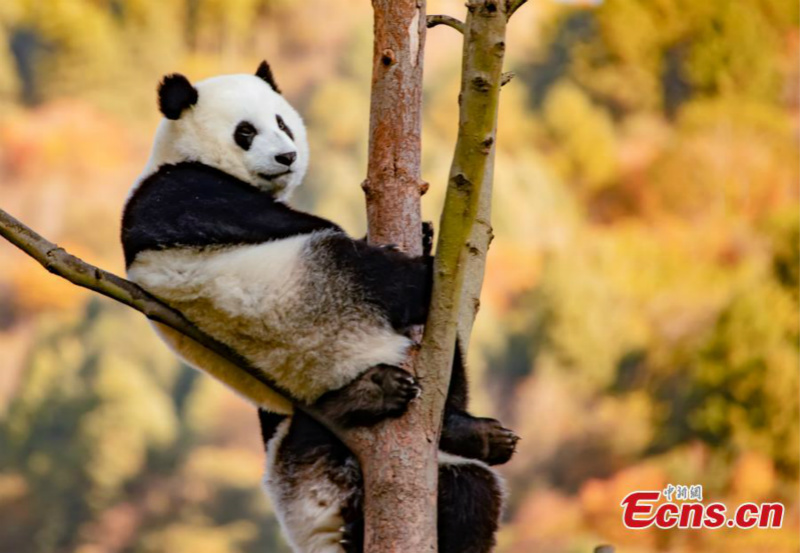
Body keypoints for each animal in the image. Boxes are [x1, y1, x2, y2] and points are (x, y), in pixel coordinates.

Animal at [120, 61, 520, 552]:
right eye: (246, 131)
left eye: (282, 123)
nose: (287, 157)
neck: (182, 152)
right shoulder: (182, 187)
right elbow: (289, 222)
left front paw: (424, 232)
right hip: (326, 298)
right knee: (394, 286)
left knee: (470, 493)